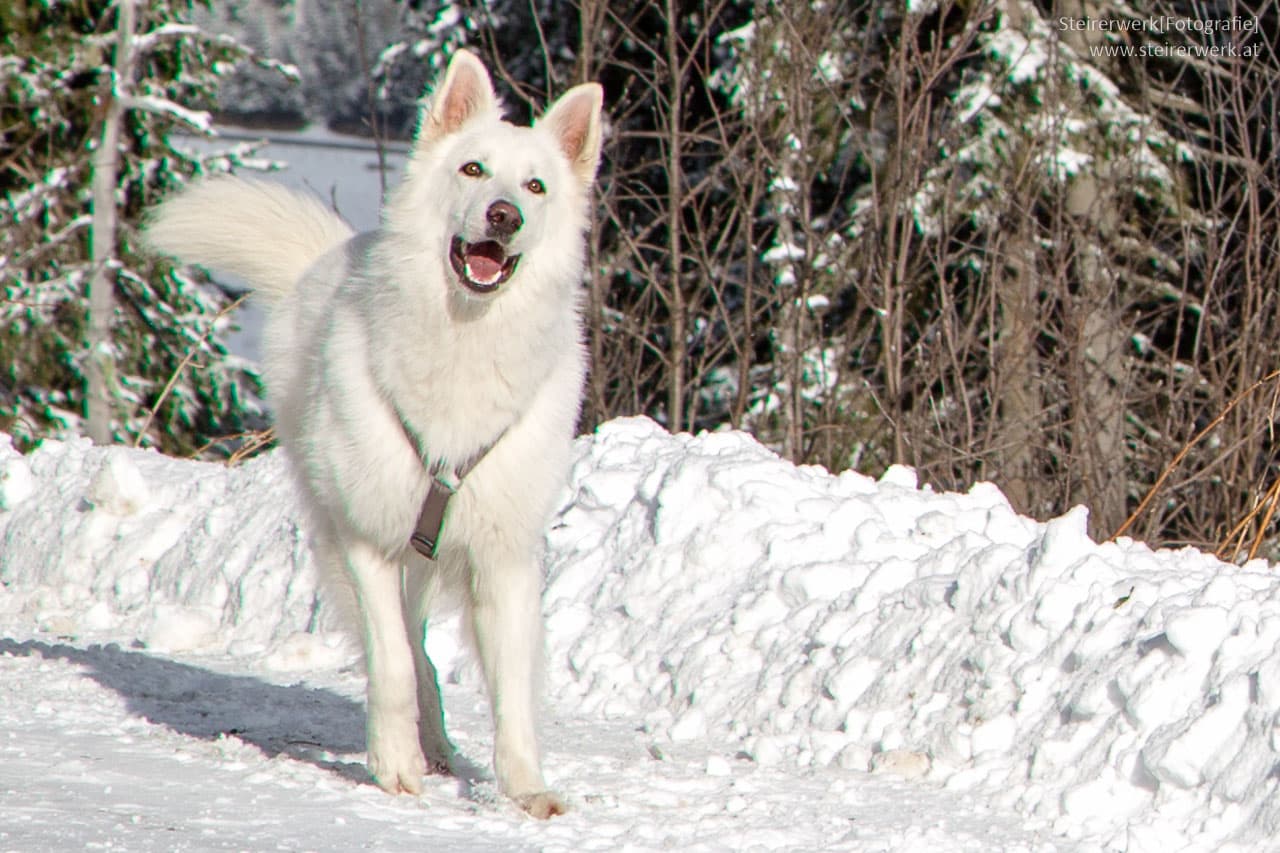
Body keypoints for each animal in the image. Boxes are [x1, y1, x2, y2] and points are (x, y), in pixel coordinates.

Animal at [145, 51, 604, 819]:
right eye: (473, 170)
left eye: (536, 186)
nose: (504, 216)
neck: (462, 349)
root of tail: (328, 254)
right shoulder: (367, 540)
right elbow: (390, 665)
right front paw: (395, 765)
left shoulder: (505, 559)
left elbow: (513, 692)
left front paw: (525, 788)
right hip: (346, 540)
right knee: (405, 650)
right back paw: (421, 742)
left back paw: (442, 744)